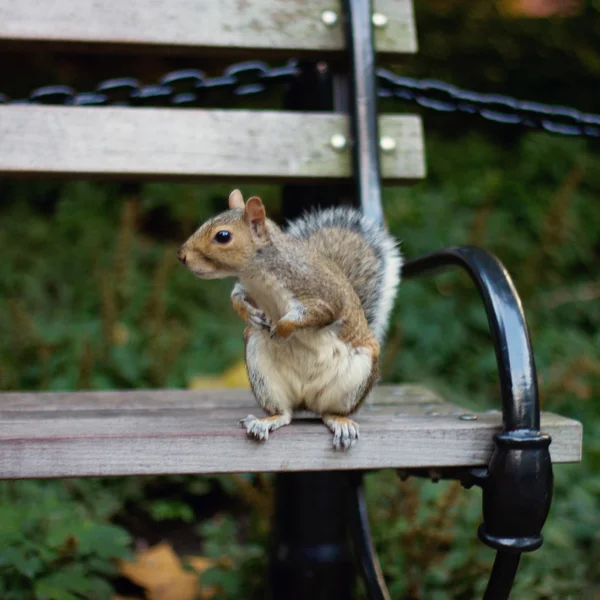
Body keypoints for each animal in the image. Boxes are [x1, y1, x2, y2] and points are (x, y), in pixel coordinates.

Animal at [178, 190, 404, 448]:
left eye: (223, 236)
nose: (181, 256)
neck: (257, 273)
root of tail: (306, 399)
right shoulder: (246, 288)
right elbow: (236, 297)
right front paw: (251, 314)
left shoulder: (320, 295)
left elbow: (315, 314)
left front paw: (282, 329)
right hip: (263, 373)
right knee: (285, 414)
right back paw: (266, 422)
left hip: (357, 376)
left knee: (330, 412)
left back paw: (340, 422)